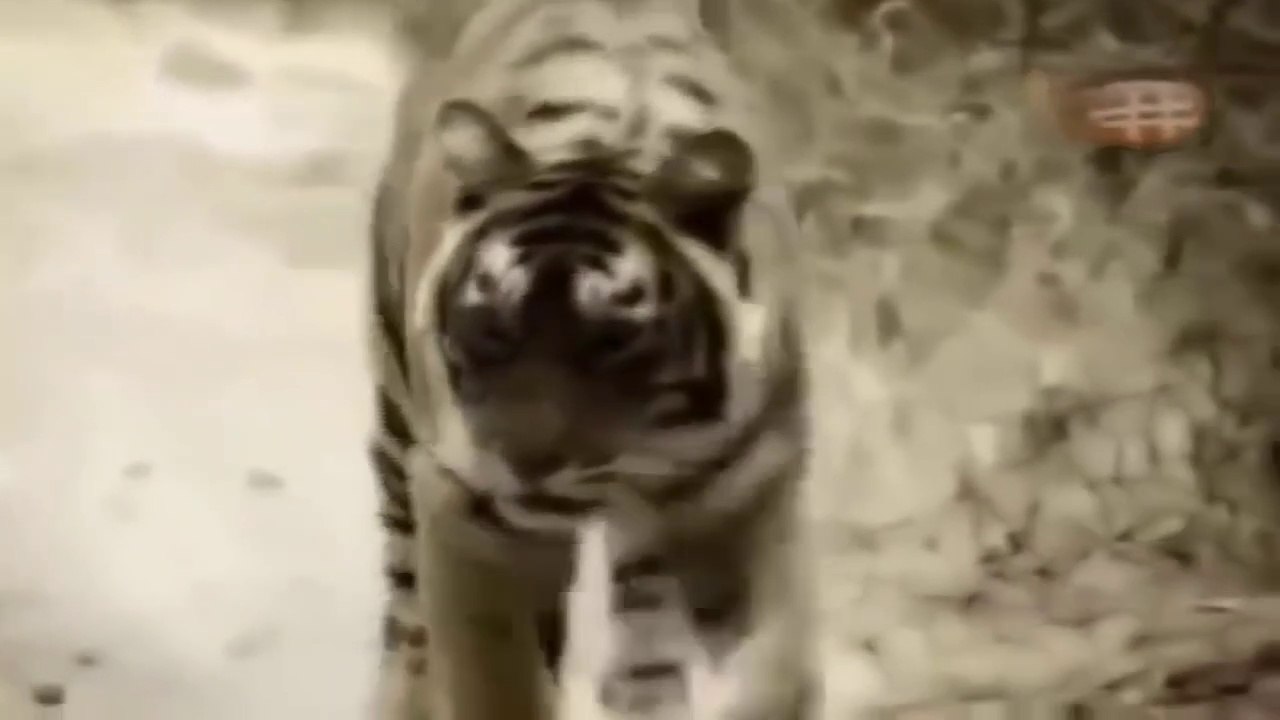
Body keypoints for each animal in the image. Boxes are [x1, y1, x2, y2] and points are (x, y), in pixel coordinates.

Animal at [366, 0, 824, 717]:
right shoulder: (464, 511)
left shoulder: (745, 501)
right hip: (396, 431)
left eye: (611, 341)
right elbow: (492, 682)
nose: (525, 465)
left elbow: (779, 667)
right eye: (493, 324)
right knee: (408, 613)